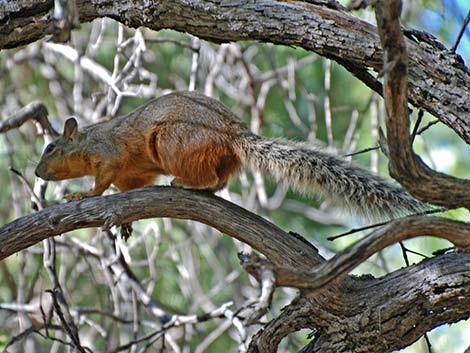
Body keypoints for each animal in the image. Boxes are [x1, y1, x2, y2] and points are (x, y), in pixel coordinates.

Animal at [35, 90, 428, 217]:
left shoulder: (110, 153)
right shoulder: (134, 173)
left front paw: (82, 193)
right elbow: (128, 186)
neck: (87, 140)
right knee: (220, 180)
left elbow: (103, 180)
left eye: (51, 147)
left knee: (207, 176)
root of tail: (233, 133)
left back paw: (186, 183)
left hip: (173, 140)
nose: (38, 173)